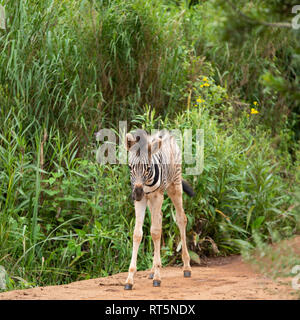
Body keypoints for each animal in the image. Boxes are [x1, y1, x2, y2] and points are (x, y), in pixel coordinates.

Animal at [123, 129, 195, 288]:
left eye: (148, 168)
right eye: (130, 167)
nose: (137, 193)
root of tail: (166, 133)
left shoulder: (157, 196)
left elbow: (155, 232)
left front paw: (157, 277)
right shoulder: (142, 200)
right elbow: (137, 234)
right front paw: (130, 279)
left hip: (175, 186)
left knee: (181, 219)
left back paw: (186, 267)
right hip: (151, 200)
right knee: (160, 218)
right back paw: (152, 270)